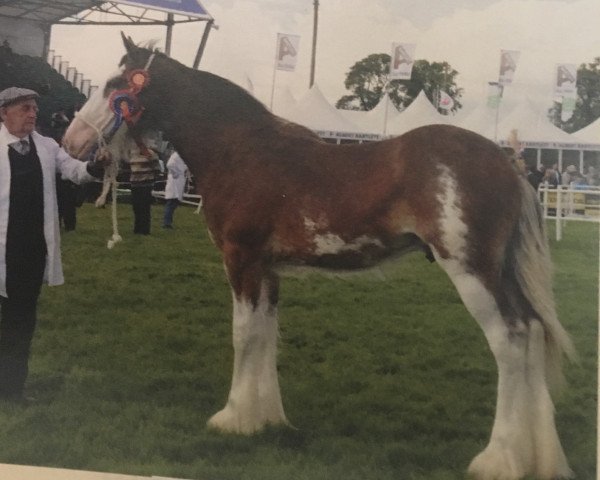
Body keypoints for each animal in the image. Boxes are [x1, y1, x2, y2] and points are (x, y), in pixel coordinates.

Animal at [63, 34, 576, 480]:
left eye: (115, 84)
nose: (72, 141)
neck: (239, 150)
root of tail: (508, 163)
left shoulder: (241, 260)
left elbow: (243, 335)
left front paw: (232, 418)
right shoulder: (267, 270)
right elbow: (266, 336)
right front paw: (266, 418)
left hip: (473, 272)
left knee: (509, 341)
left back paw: (498, 459)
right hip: (500, 273)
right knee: (532, 332)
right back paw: (540, 458)